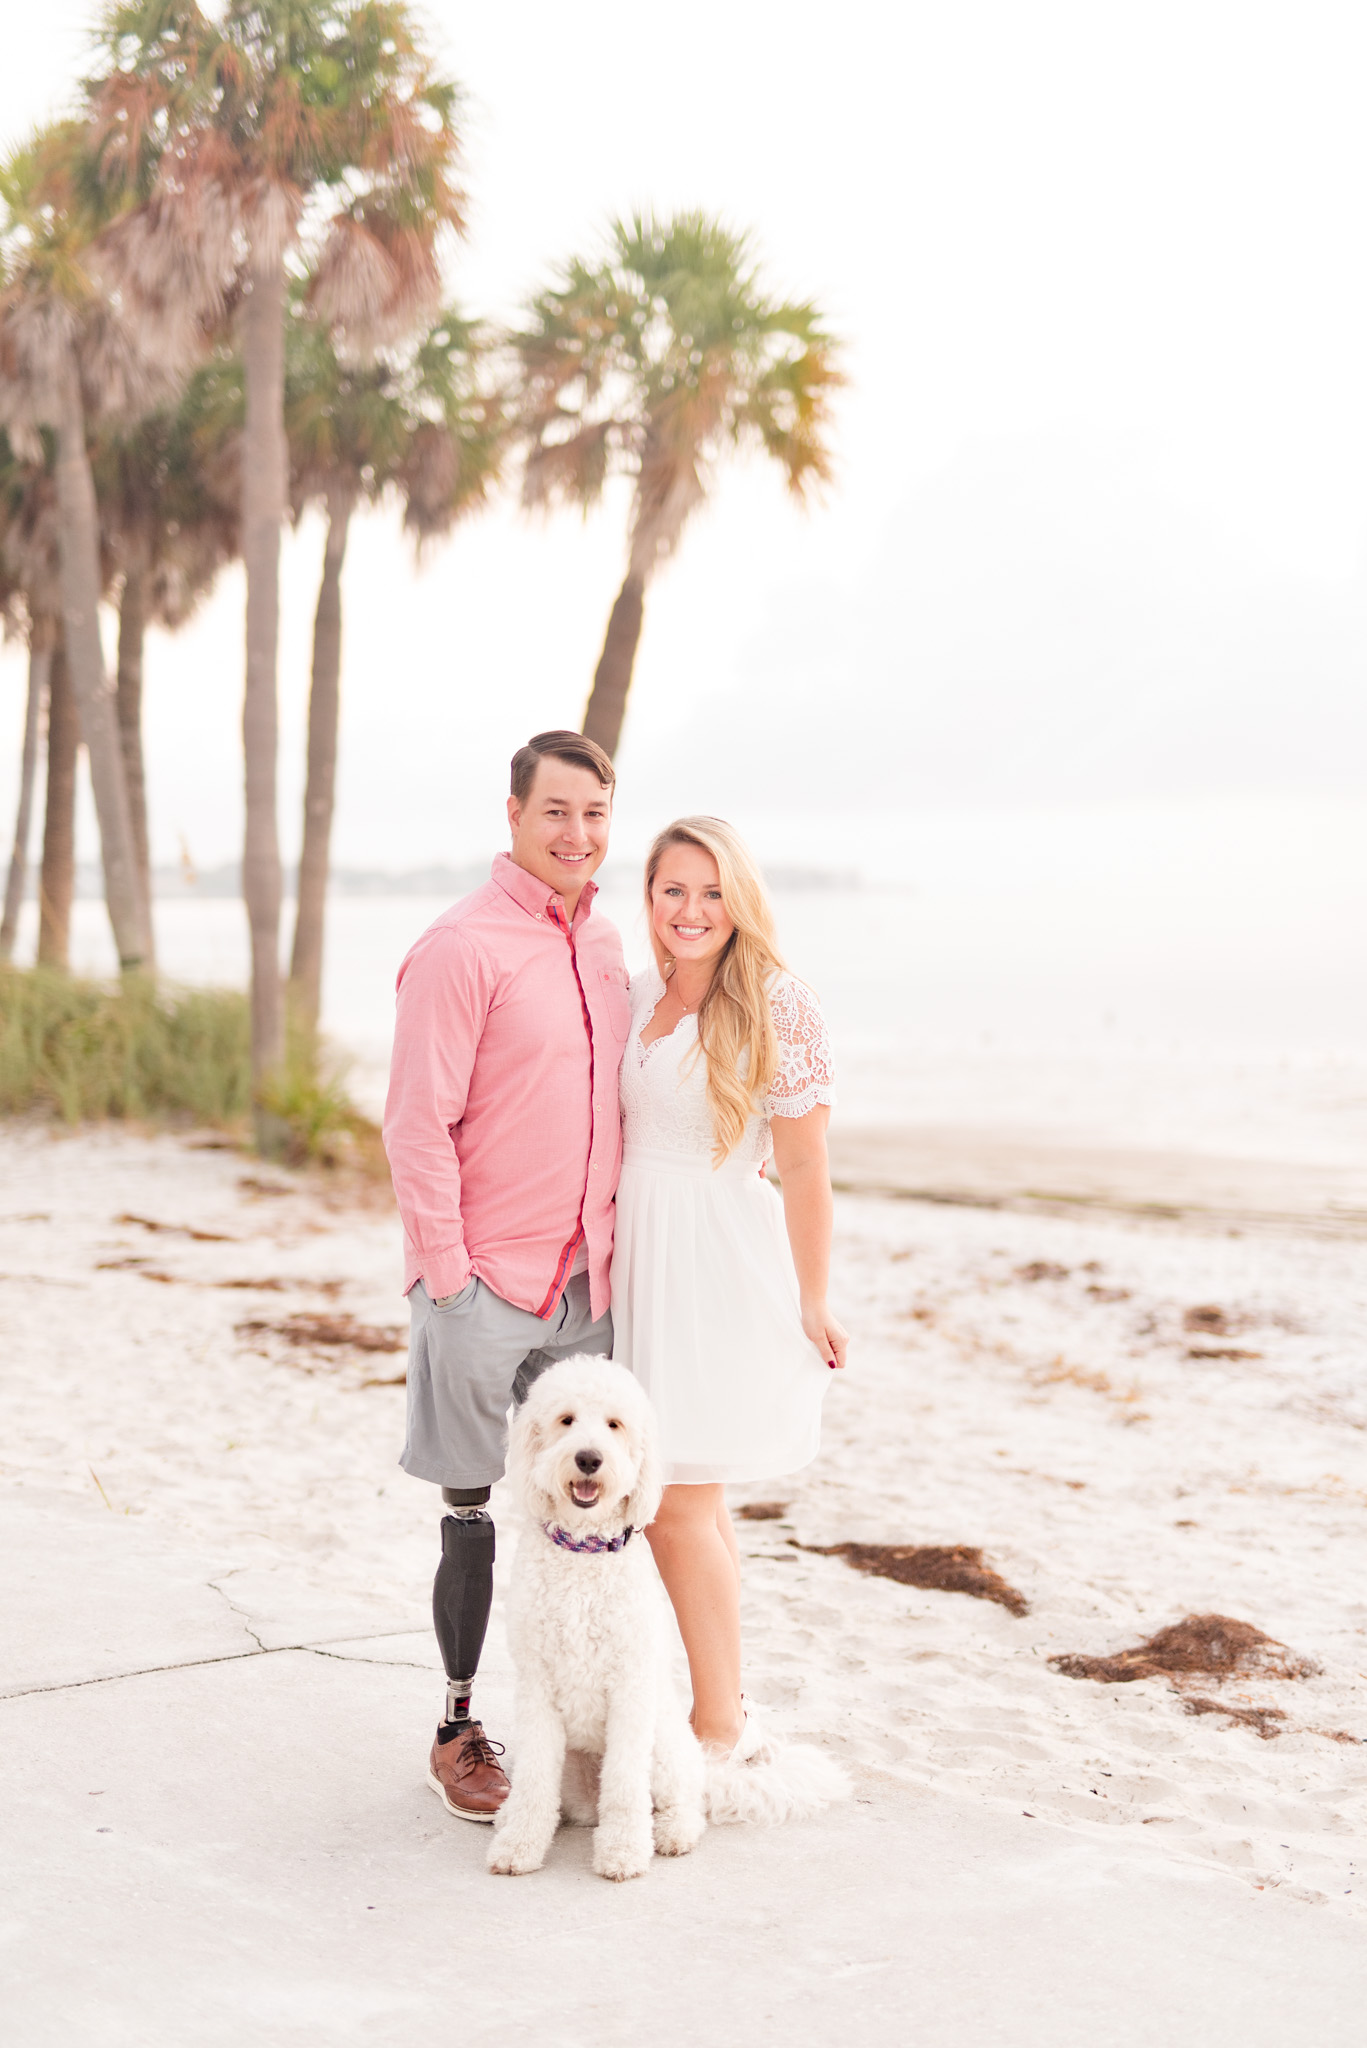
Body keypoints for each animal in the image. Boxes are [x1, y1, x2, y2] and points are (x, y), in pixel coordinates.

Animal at [489, 1351, 705, 1875]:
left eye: (614, 1424)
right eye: (566, 1420)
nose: (589, 1458)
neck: (583, 1553)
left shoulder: (630, 1689)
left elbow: (625, 1787)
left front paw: (624, 1850)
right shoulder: (537, 1688)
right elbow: (534, 1785)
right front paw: (519, 1845)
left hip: (664, 1745)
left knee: (682, 1800)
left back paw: (673, 1832)